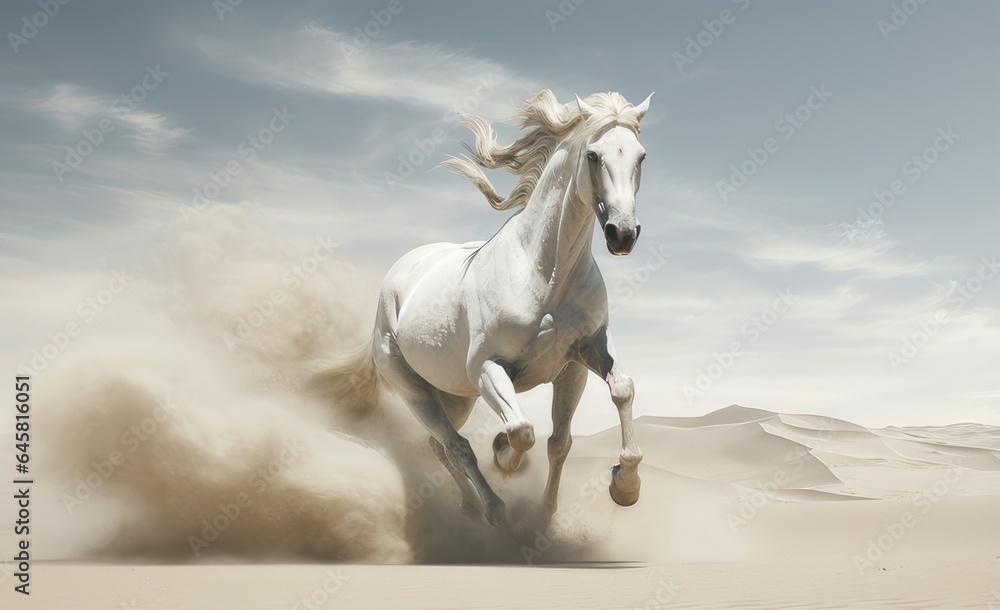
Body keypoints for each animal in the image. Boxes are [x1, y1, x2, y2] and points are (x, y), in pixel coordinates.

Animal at [331, 89, 652, 526]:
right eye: (593, 155)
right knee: (457, 446)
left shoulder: (580, 359)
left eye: (640, 156)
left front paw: (620, 487)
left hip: (454, 395)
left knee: (440, 445)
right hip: (416, 391)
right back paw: (493, 511)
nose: (623, 234)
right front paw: (503, 456)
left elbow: (590, 416)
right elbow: (522, 431)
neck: (544, 274)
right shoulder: (487, 368)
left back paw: (469, 507)